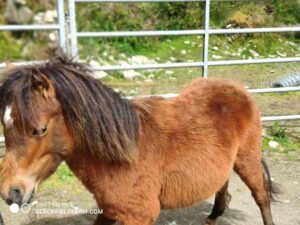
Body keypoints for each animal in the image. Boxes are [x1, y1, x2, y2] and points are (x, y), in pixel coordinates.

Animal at [0, 54, 276, 225]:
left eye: (39, 129)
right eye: (5, 125)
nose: (10, 193)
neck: (123, 155)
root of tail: (237, 88)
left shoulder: (139, 215)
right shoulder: (109, 209)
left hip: (247, 159)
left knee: (261, 196)